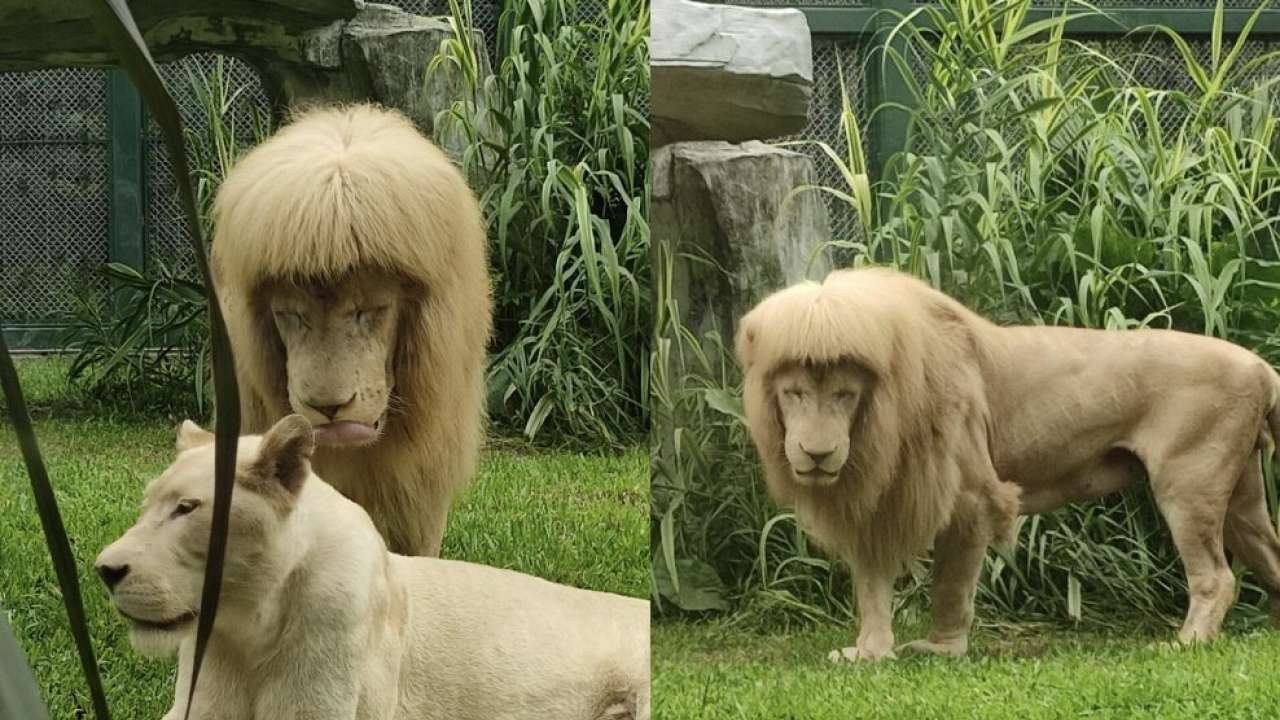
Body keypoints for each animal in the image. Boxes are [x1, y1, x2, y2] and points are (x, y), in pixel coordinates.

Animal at [737, 266, 1280, 661]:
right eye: (794, 393)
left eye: (845, 395)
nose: (817, 453)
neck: (878, 421)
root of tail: (1260, 365)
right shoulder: (876, 502)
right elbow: (871, 588)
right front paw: (869, 653)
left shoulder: (973, 497)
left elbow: (950, 585)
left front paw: (941, 649)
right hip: (1242, 498)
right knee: (1270, 555)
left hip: (1188, 484)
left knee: (1217, 577)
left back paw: (1186, 642)